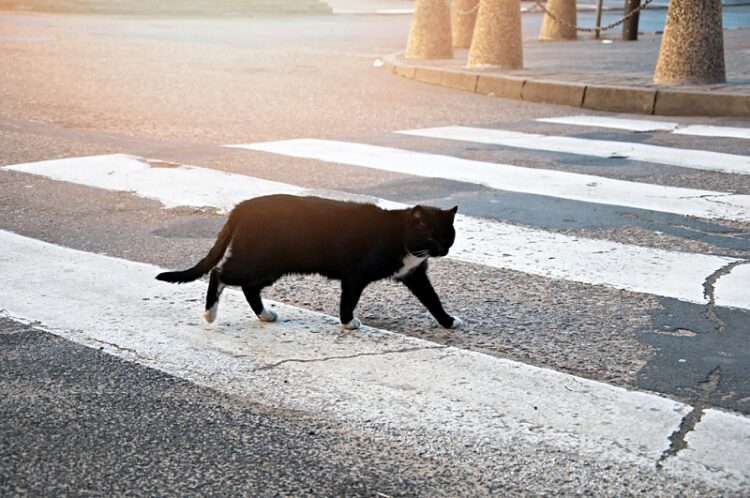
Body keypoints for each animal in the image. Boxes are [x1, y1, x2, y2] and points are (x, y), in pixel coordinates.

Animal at [157, 195, 464, 330]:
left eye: (448, 236)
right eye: (430, 235)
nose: (443, 250)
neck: (400, 234)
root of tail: (242, 206)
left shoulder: (414, 274)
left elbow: (432, 299)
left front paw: (448, 322)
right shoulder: (355, 274)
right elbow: (348, 299)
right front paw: (348, 323)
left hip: (270, 265)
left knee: (249, 287)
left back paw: (265, 315)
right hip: (260, 260)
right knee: (220, 272)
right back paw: (210, 314)